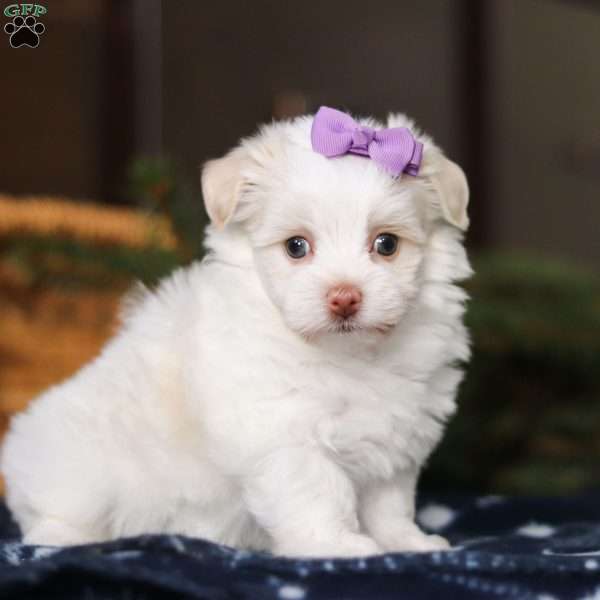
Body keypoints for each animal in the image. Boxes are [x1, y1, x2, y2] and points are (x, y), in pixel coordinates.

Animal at [0, 109, 472, 556]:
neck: (349, 355)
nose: (344, 297)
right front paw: (335, 546)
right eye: (296, 246)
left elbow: (389, 502)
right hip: (82, 472)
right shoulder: (284, 433)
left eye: (386, 244)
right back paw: (61, 539)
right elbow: (319, 492)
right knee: (55, 514)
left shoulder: (395, 434)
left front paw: (406, 542)